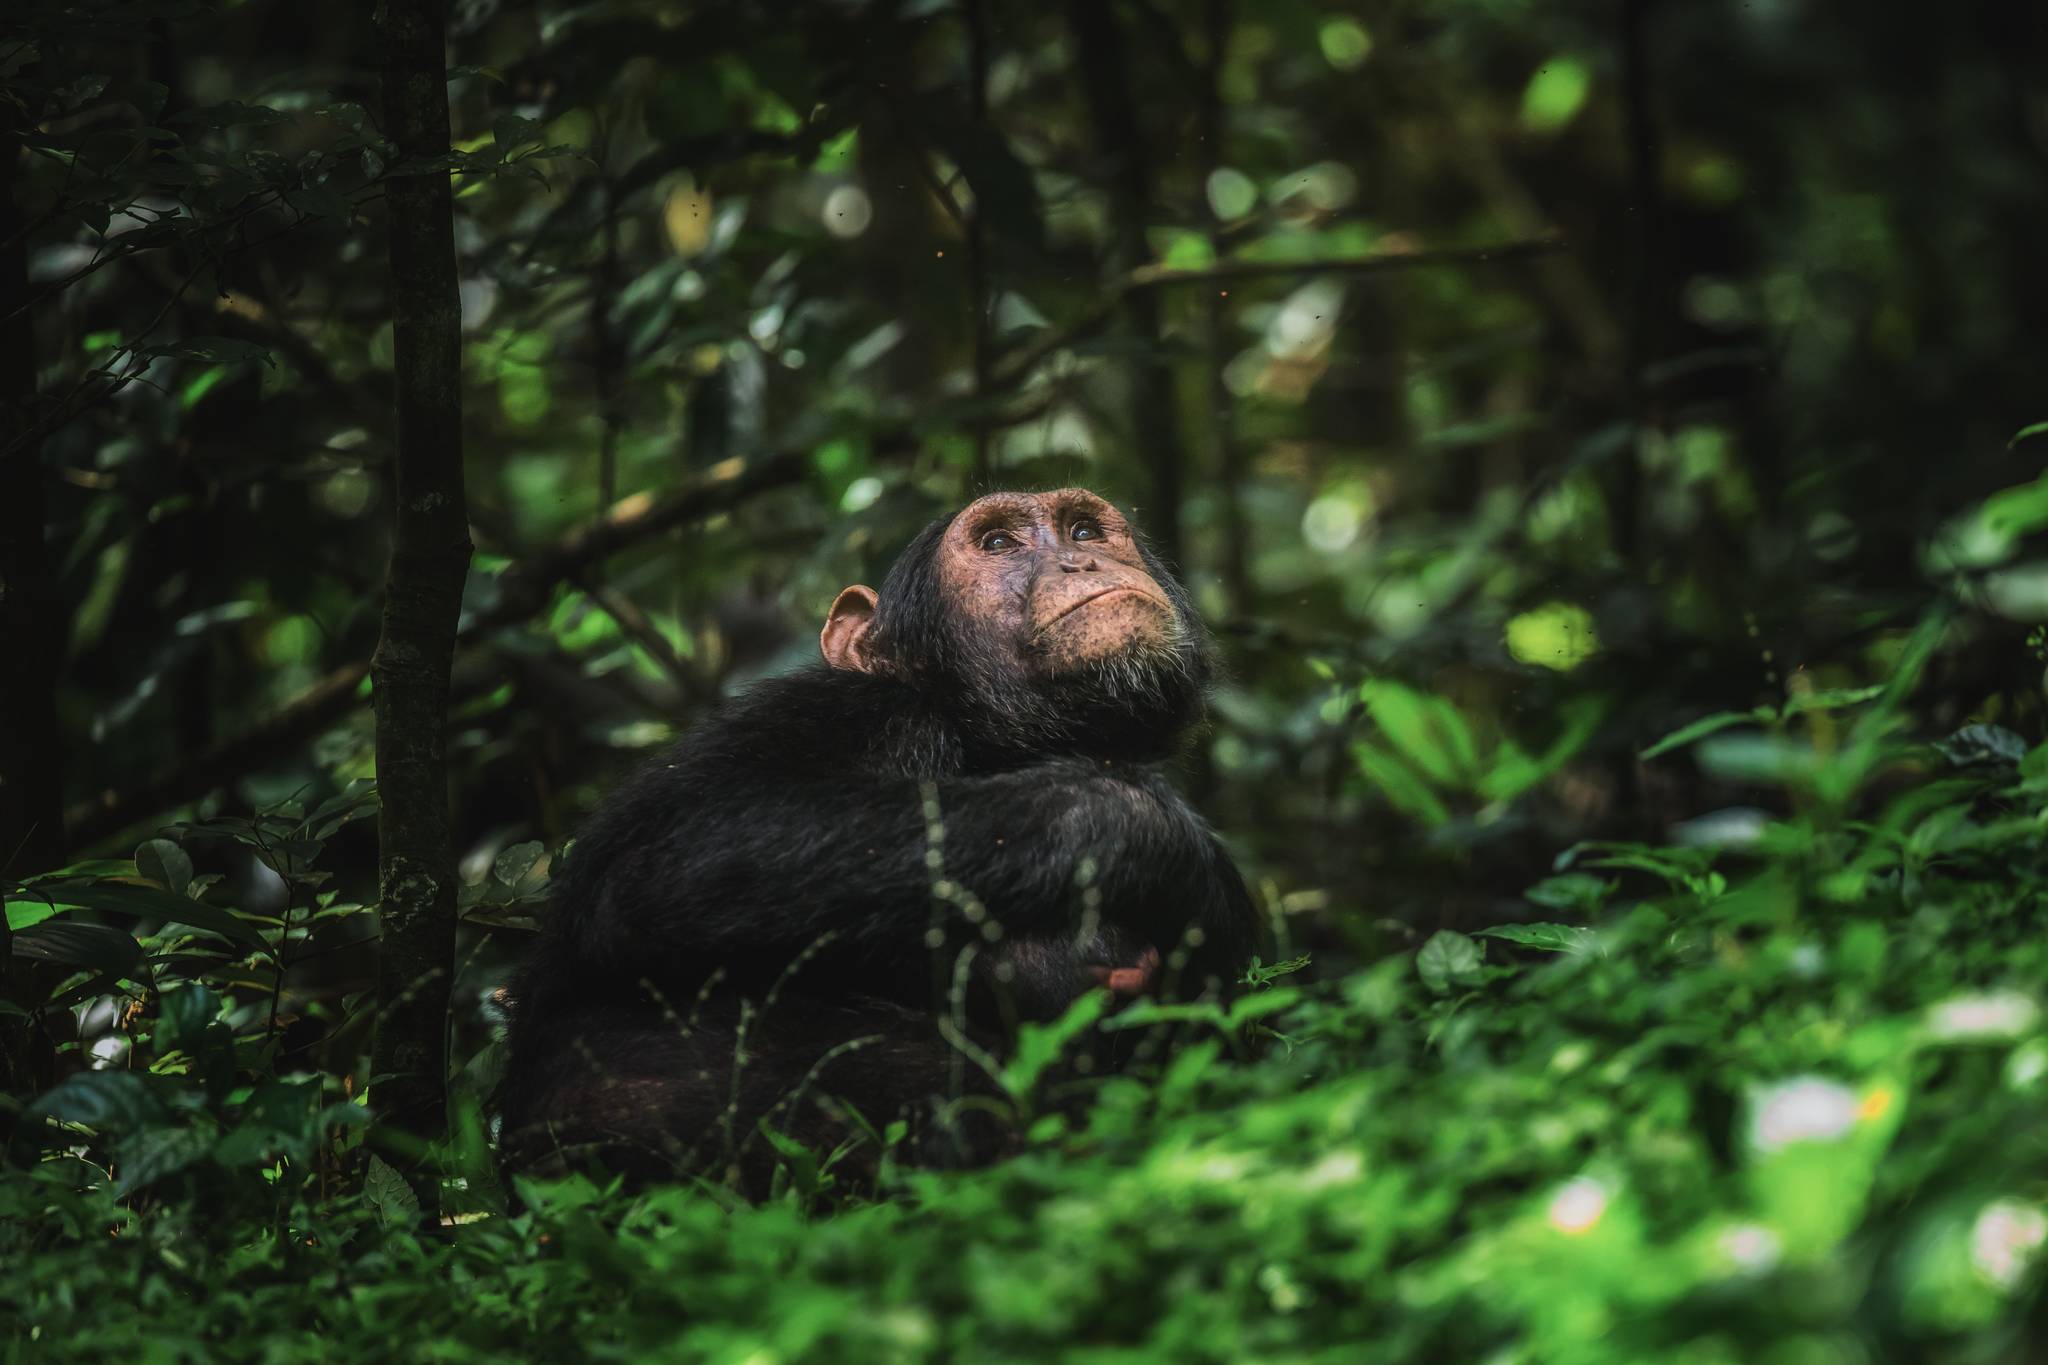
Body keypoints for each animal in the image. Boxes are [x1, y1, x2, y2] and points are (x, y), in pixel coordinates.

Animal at [499, 485, 1261, 1186]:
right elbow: (678, 852)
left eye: (1082, 528)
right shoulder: (847, 712)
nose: (1081, 557)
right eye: (999, 543)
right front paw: (1164, 847)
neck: (984, 737)